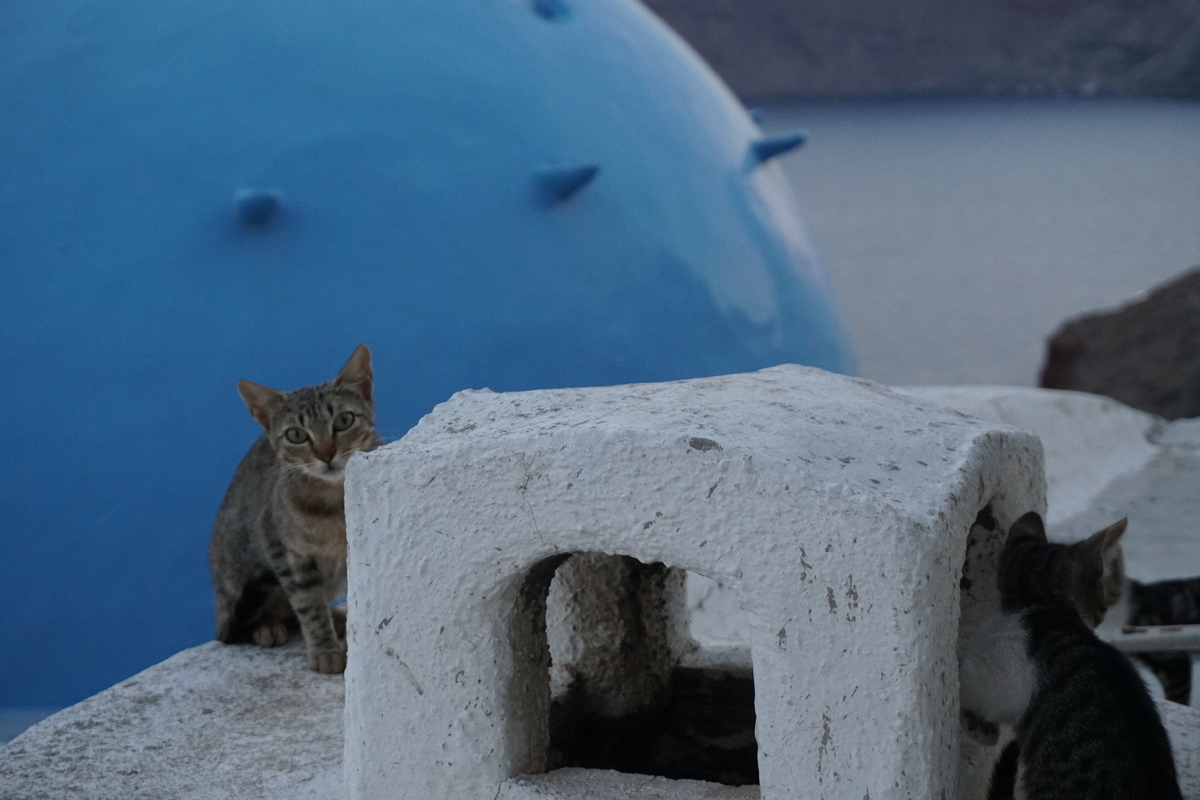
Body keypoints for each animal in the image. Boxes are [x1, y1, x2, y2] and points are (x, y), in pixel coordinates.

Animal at [206, 345, 384, 676]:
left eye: (343, 420)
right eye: (297, 435)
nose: (326, 454)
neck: (333, 503)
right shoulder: (285, 551)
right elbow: (308, 604)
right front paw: (324, 649)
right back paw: (266, 626)